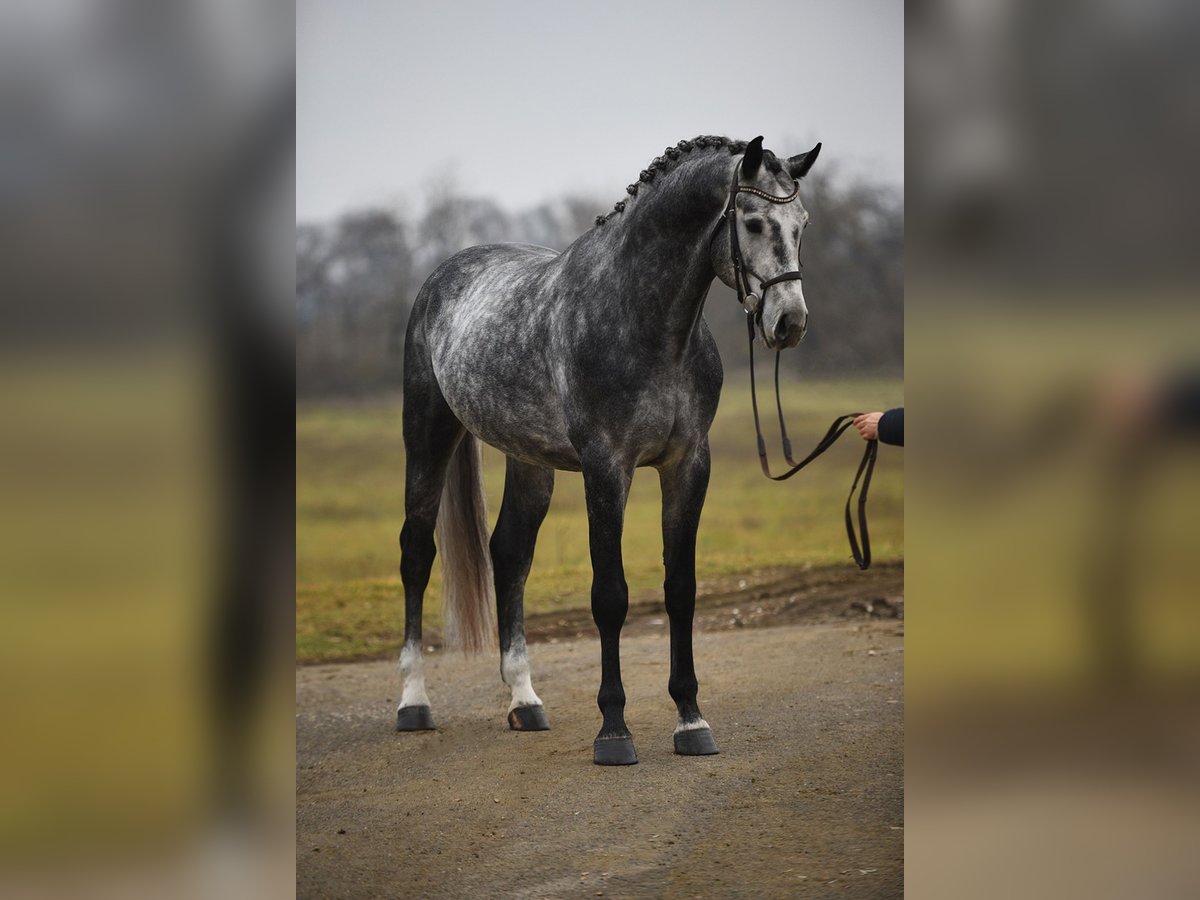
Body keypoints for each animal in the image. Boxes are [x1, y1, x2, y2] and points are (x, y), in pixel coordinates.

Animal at [398, 133, 820, 768]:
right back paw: (413, 703)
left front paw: (691, 721)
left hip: (529, 461)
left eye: (801, 223)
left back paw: (525, 702)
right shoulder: (606, 470)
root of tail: (439, 277)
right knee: (416, 554)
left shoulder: (688, 465)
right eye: (750, 221)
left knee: (510, 554)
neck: (644, 324)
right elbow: (611, 597)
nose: (789, 322)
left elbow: (680, 590)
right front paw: (614, 732)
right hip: (427, 436)